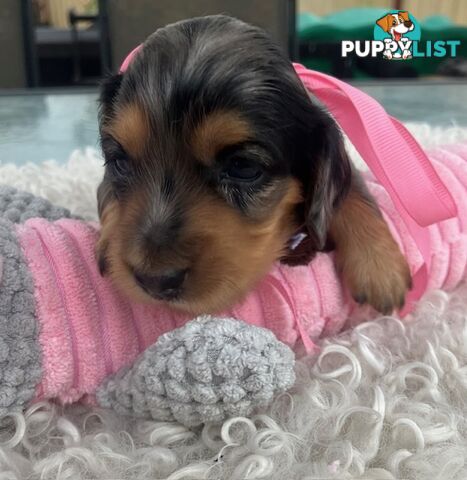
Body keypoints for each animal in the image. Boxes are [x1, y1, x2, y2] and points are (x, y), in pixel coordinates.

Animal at [97, 14, 412, 316]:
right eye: (120, 162)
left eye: (243, 167)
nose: (155, 282)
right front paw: (107, 240)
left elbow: (354, 189)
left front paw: (380, 267)